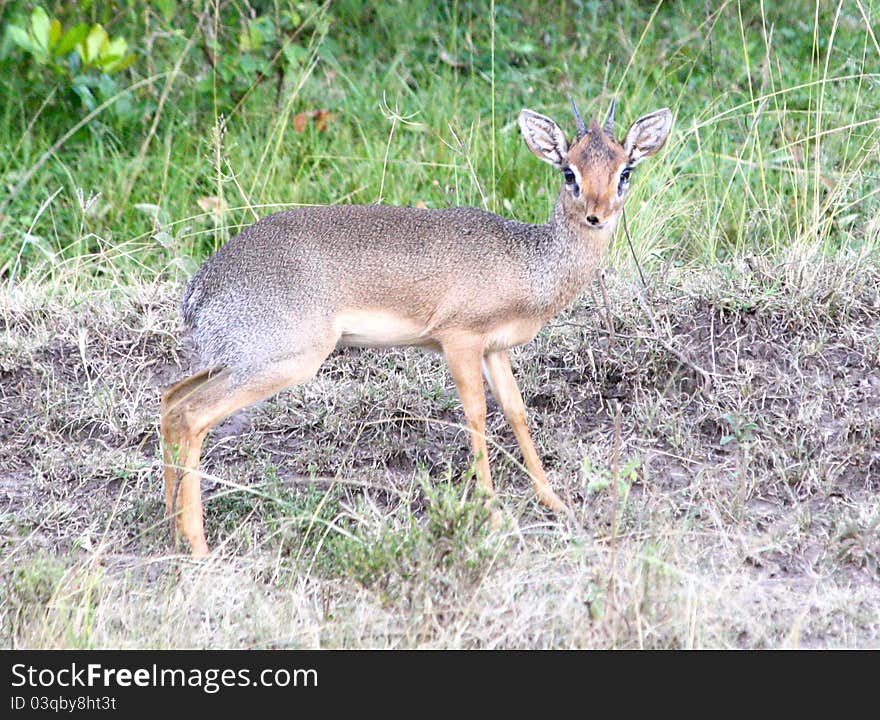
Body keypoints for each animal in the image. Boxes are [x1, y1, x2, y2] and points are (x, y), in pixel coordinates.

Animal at [163, 97, 672, 556]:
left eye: (625, 170)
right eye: (569, 172)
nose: (597, 215)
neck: (526, 262)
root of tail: (200, 287)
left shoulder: (495, 349)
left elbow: (516, 412)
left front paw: (555, 502)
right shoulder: (460, 340)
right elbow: (476, 415)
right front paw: (492, 515)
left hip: (233, 360)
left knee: (171, 402)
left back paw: (171, 525)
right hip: (281, 362)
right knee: (193, 416)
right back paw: (197, 545)